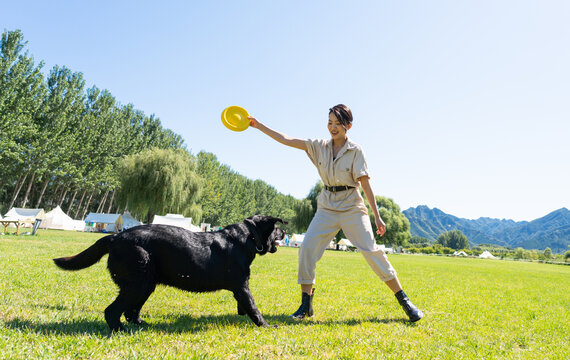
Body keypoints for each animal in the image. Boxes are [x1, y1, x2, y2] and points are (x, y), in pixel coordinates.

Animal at [53, 215, 284, 330]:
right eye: (277, 229)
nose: (284, 231)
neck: (247, 237)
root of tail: (115, 237)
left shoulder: (240, 288)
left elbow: (245, 307)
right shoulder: (242, 287)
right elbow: (254, 308)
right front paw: (266, 326)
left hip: (145, 284)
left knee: (130, 311)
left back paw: (141, 326)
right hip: (139, 283)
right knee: (112, 311)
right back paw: (121, 331)